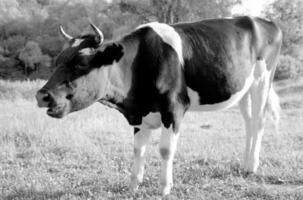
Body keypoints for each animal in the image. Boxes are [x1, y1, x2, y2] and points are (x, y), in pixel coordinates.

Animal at [35, 16, 282, 196]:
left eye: (82, 63)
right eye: (57, 61)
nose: (42, 95)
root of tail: (262, 21)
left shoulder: (174, 108)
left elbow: (165, 149)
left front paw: (164, 187)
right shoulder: (139, 115)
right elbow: (138, 149)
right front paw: (133, 186)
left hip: (262, 80)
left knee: (258, 122)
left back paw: (252, 166)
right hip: (243, 89)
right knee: (249, 123)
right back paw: (245, 164)